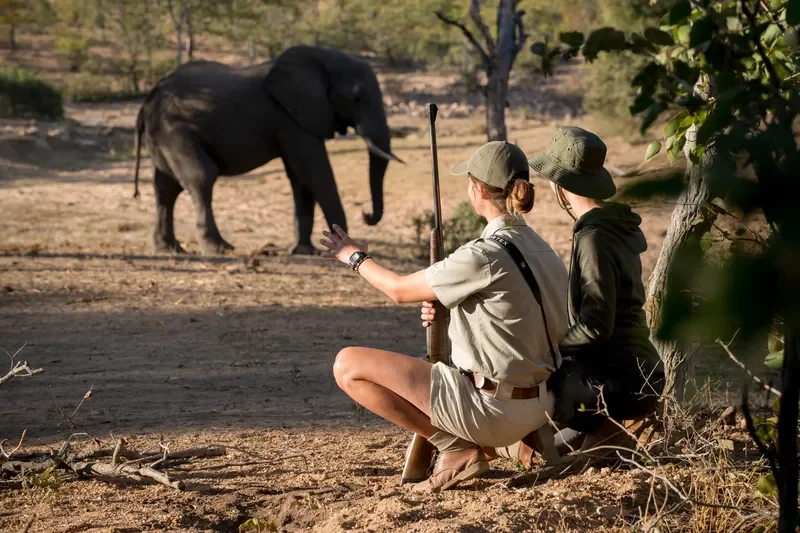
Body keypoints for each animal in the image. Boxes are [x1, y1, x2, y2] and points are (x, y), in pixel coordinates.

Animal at [132, 45, 401, 255]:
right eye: (357, 98)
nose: (366, 214)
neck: (320, 57)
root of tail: (146, 102)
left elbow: (300, 178)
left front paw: (303, 251)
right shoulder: (290, 118)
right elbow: (314, 172)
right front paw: (340, 247)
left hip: (163, 137)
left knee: (165, 189)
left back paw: (168, 249)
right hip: (175, 131)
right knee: (201, 177)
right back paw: (219, 249)